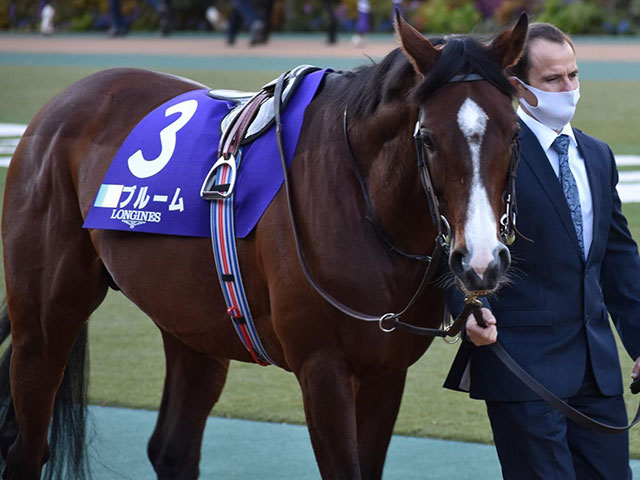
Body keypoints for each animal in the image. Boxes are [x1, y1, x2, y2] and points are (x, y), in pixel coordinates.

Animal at [2, 13, 528, 478]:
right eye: (430, 139)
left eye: (515, 133)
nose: (481, 262)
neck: (359, 198)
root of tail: (62, 103)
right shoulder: (323, 371)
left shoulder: (385, 374)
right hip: (45, 326)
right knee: (27, 447)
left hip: (192, 325)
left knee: (171, 449)